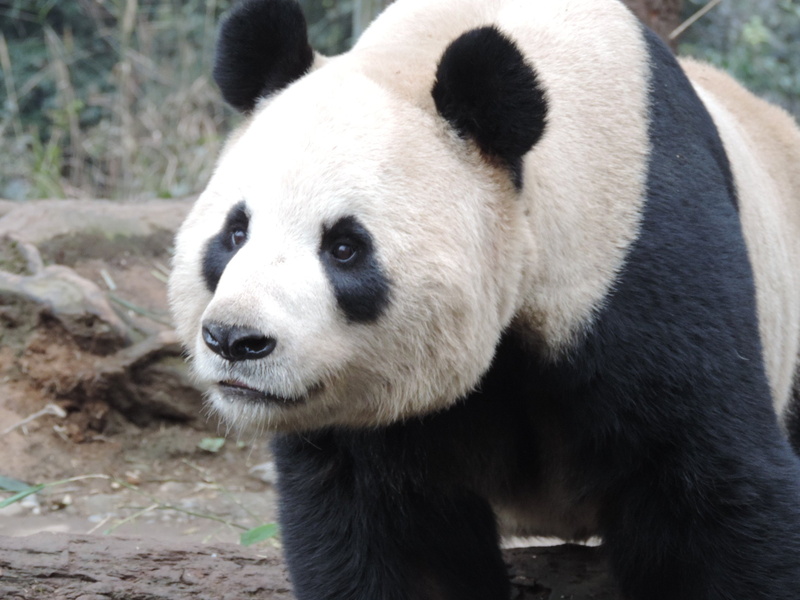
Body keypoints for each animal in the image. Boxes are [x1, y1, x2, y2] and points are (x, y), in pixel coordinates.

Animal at [168, 0, 800, 598]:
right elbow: (386, 527)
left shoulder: (637, 254)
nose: (235, 340)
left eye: (345, 247)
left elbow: (705, 489)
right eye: (235, 233)